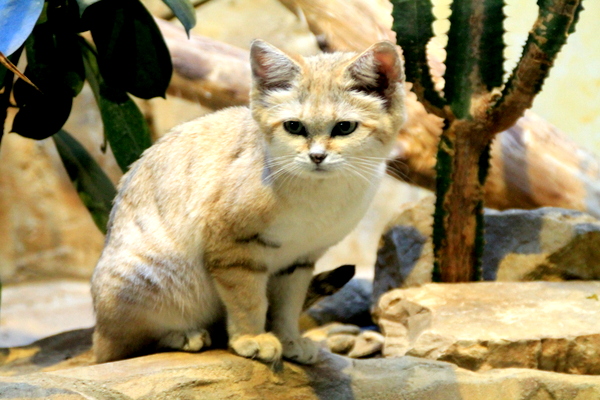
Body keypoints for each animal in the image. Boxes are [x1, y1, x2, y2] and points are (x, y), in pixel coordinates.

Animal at [90, 39, 408, 364]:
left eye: (344, 127)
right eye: (294, 127)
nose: (317, 156)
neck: (320, 194)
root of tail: (100, 331)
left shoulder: (299, 260)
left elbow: (287, 306)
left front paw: (289, 339)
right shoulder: (233, 247)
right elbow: (249, 300)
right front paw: (251, 338)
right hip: (149, 277)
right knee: (128, 345)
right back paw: (184, 336)